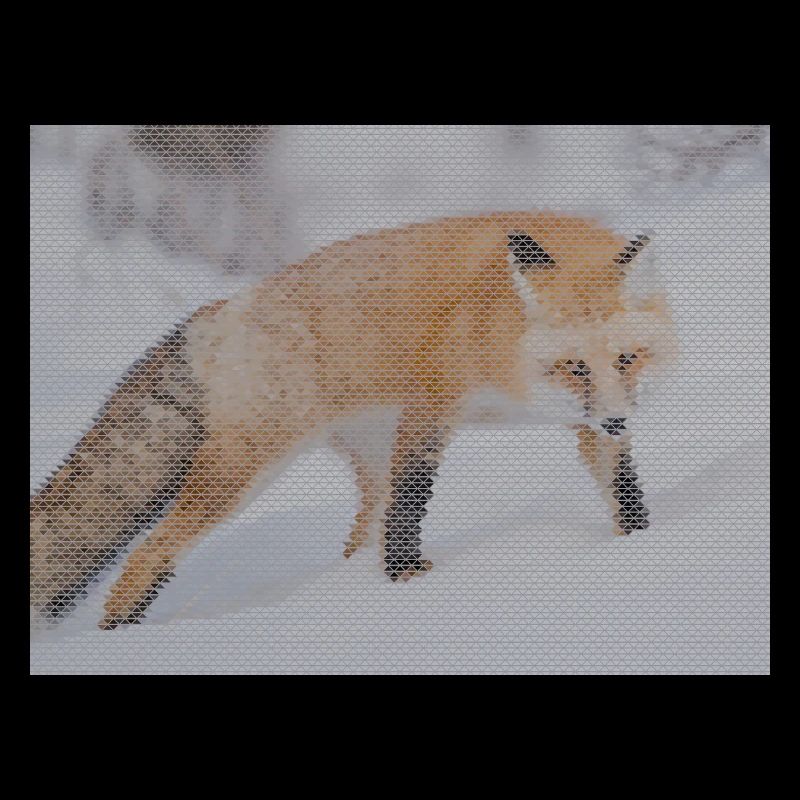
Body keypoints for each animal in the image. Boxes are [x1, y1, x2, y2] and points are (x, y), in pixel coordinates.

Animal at [29, 210, 677, 630]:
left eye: (627, 359)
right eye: (574, 366)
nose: (618, 420)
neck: (501, 336)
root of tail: (219, 310)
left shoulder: (585, 420)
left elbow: (622, 487)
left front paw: (638, 540)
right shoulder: (431, 404)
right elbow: (413, 502)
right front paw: (407, 578)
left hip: (363, 457)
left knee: (356, 538)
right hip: (244, 470)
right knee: (149, 552)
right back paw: (122, 632)